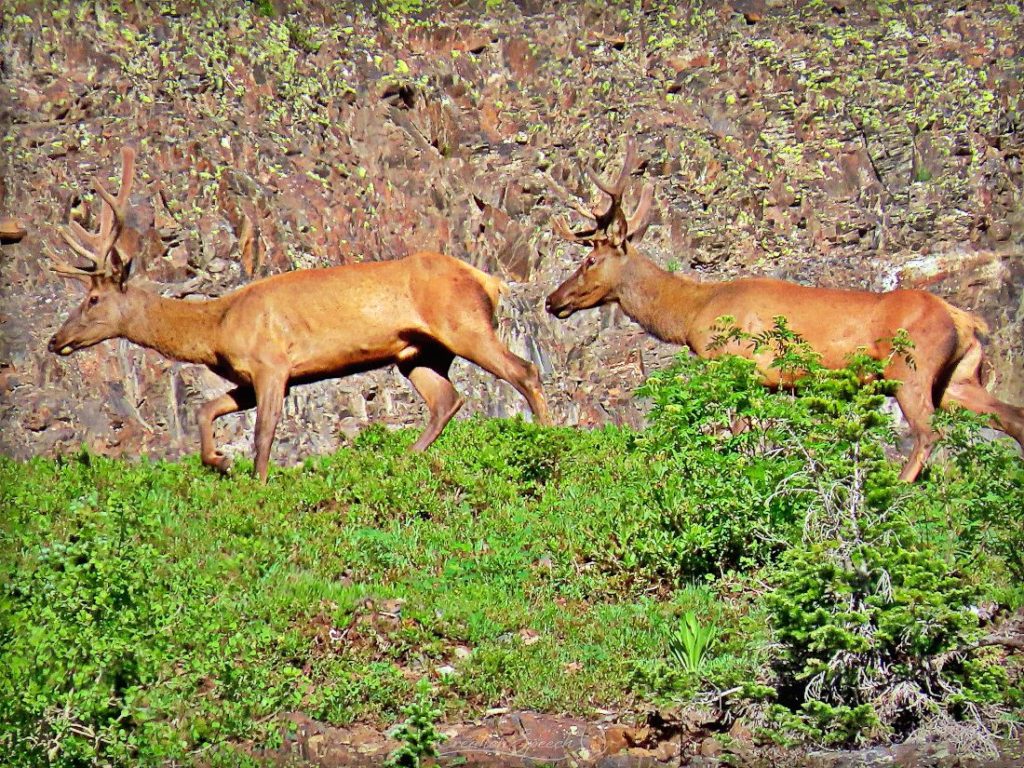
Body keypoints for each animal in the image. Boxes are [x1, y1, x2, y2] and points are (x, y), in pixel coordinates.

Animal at [46, 146, 552, 481]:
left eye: (92, 300)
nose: (55, 340)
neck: (217, 328)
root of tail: (490, 280)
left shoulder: (272, 364)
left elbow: (264, 432)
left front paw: (258, 482)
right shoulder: (249, 375)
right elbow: (207, 409)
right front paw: (219, 461)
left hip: (463, 323)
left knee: (524, 370)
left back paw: (550, 437)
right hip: (417, 353)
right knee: (448, 399)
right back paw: (406, 456)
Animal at [548, 138, 1019, 481]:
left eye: (589, 260)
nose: (553, 300)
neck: (692, 314)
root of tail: (964, 319)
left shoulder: (736, 363)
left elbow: (735, 434)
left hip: (910, 368)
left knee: (927, 432)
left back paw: (900, 489)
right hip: (959, 378)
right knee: (1012, 416)